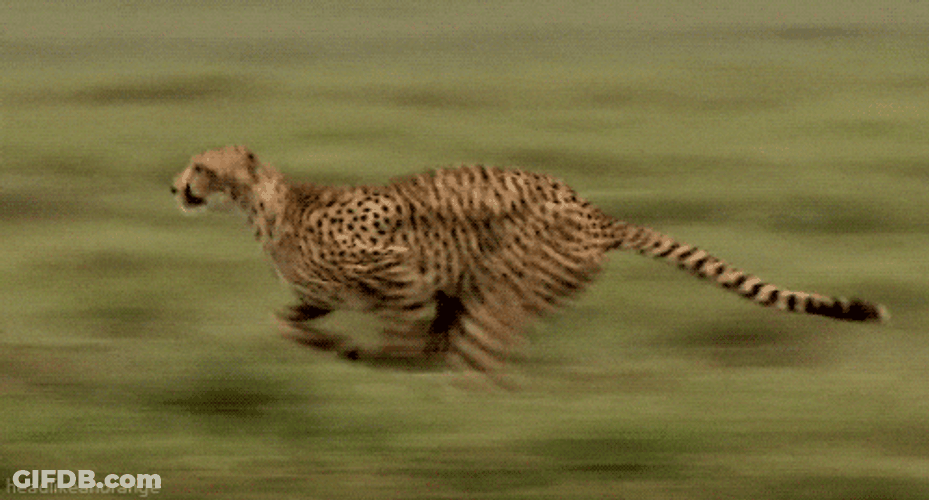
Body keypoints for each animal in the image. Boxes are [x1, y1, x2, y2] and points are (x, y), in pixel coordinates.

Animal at [171, 145, 887, 382]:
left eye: (203, 166)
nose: (176, 186)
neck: (267, 206)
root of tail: (595, 211)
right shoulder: (327, 293)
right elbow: (288, 321)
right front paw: (330, 347)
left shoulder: (401, 271)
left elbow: (400, 333)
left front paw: (375, 361)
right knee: (469, 344)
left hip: (506, 282)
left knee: (484, 354)